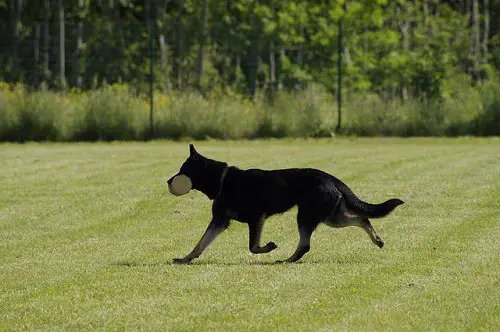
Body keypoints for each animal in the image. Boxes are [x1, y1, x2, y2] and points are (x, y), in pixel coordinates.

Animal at [168, 145, 402, 264]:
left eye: (183, 170)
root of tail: (332, 179)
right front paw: (186, 259)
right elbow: (200, 244)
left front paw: (269, 247)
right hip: (331, 217)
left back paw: (287, 260)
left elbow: (253, 247)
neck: (223, 181)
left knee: (306, 244)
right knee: (363, 218)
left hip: (308, 215)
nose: (169, 182)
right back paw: (377, 240)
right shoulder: (219, 221)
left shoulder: (256, 218)